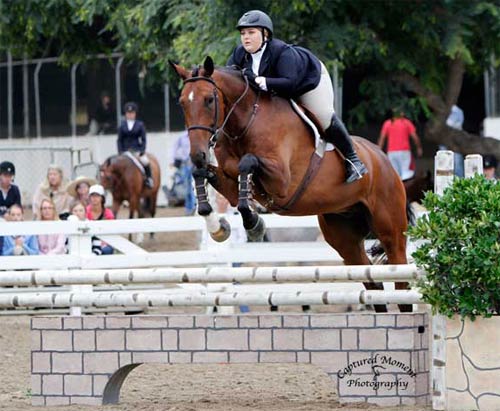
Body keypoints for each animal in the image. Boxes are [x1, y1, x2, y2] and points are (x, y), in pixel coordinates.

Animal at [173, 55, 414, 312]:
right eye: (182, 103)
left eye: (209, 100)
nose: (197, 154)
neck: (245, 121)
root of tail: (384, 160)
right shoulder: (228, 182)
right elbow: (203, 174)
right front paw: (217, 226)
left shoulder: (282, 181)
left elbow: (247, 163)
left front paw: (253, 223)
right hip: (344, 236)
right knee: (373, 285)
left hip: (390, 230)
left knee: (401, 283)